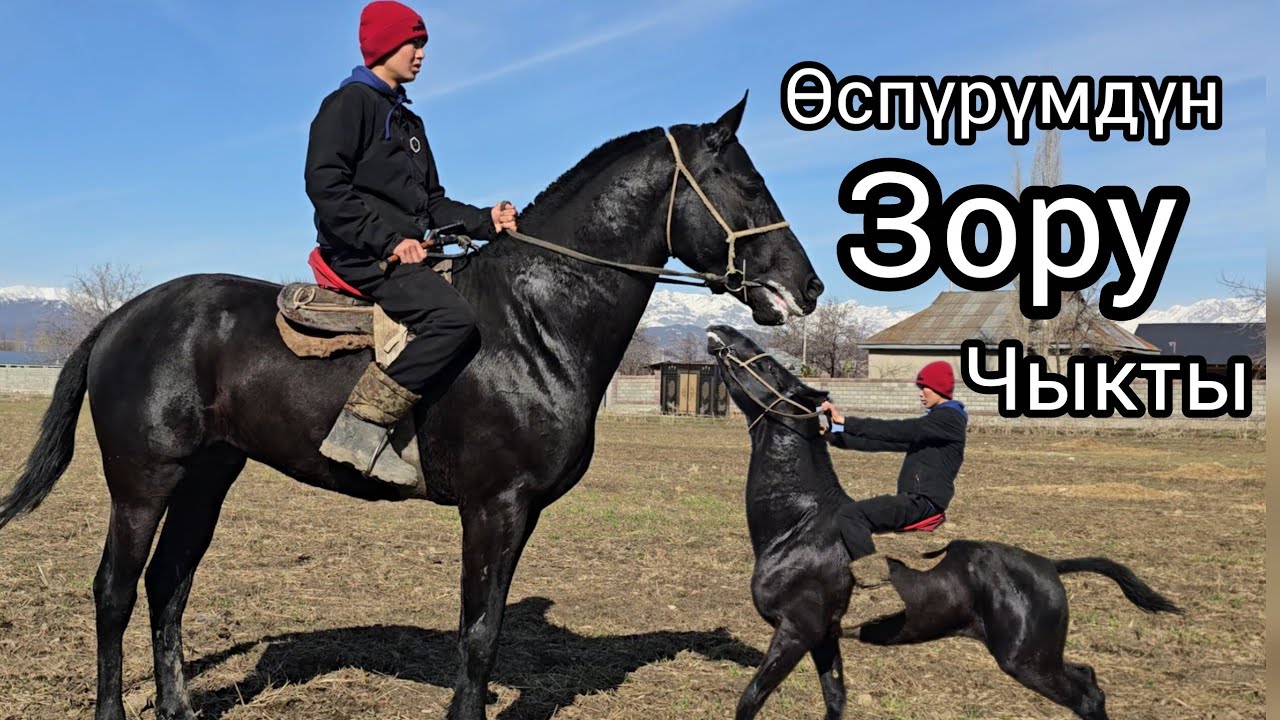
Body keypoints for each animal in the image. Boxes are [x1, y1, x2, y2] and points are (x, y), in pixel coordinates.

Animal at [0, 95, 823, 720]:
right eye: (747, 185)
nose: (809, 287)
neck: (535, 321)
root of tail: (122, 318)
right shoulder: (495, 506)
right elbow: (479, 635)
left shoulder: (516, 513)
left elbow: (482, 627)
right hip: (142, 482)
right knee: (114, 591)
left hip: (206, 478)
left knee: (169, 586)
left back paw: (178, 708)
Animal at [705, 324, 1183, 720]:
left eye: (767, 365)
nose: (721, 330)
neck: (799, 524)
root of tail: (1049, 566)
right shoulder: (824, 637)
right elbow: (835, 700)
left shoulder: (795, 632)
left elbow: (750, 700)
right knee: (1088, 678)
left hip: (1028, 660)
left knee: (1087, 696)